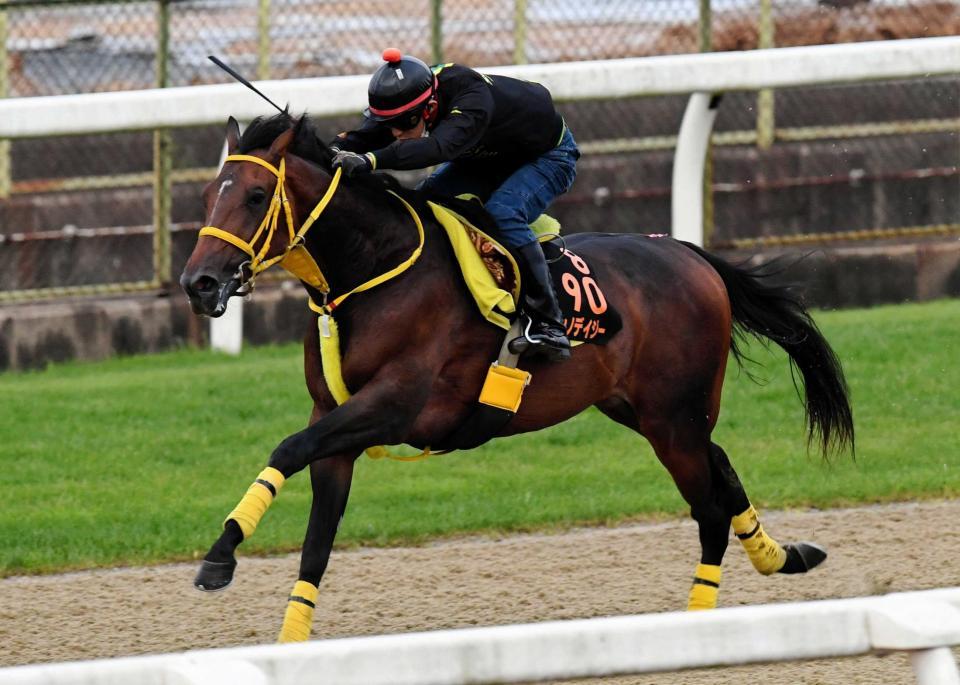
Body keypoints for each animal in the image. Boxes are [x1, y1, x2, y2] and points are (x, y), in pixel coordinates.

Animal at [180, 112, 856, 640]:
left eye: (255, 197)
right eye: (210, 194)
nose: (199, 283)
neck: (376, 273)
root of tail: (689, 253)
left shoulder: (393, 406)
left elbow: (287, 448)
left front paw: (218, 558)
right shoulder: (336, 420)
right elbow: (316, 538)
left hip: (674, 418)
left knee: (709, 509)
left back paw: (700, 621)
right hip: (652, 412)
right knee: (724, 467)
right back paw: (783, 556)